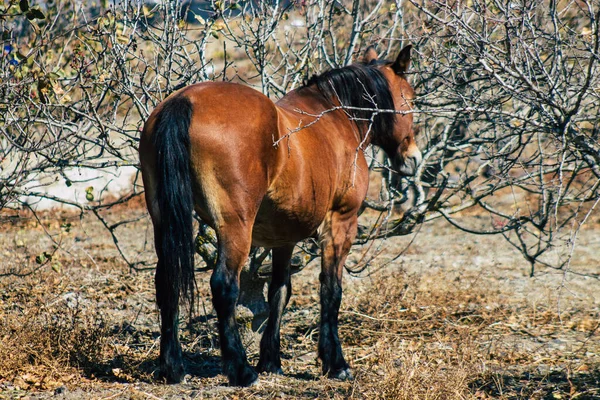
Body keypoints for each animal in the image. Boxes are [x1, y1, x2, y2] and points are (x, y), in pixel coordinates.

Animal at [141, 45, 422, 386]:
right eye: (410, 100)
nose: (413, 158)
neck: (336, 116)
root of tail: (184, 101)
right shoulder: (341, 223)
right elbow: (331, 290)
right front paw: (335, 364)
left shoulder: (283, 239)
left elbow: (279, 292)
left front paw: (271, 361)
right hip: (235, 228)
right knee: (223, 286)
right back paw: (241, 370)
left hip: (164, 221)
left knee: (166, 281)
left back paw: (172, 367)